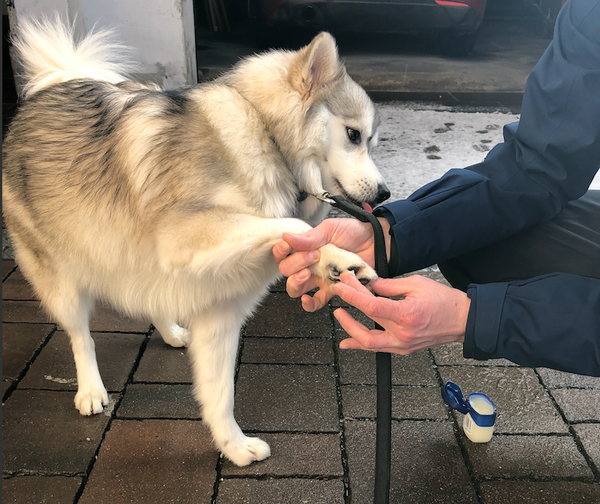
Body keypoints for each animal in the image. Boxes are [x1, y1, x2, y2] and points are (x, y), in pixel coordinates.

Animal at [3, 17, 390, 466]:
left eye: (370, 140)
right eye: (353, 134)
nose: (385, 195)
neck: (264, 132)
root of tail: (50, 89)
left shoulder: (221, 310)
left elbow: (220, 393)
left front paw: (233, 446)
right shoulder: (183, 235)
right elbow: (289, 223)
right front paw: (336, 256)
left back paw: (171, 332)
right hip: (62, 280)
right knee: (81, 336)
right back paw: (90, 390)